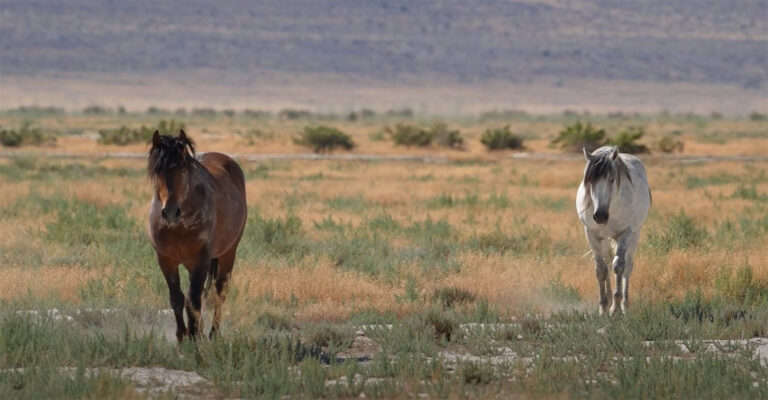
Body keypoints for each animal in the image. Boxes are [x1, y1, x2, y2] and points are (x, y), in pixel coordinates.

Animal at [147, 129, 247, 341]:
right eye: (157, 170)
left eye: (183, 171)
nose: (170, 212)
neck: (179, 226)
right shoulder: (166, 260)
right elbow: (177, 298)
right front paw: (182, 336)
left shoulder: (201, 260)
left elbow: (193, 300)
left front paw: (193, 337)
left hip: (228, 254)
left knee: (219, 292)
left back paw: (213, 334)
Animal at [576, 146, 651, 315]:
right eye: (591, 180)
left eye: (611, 179)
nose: (600, 216)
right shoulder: (591, 234)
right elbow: (601, 269)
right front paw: (603, 306)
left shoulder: (625, 234)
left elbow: (619, 266)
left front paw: (615, 307)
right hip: (605, 239)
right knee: (608, 261)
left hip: (634, 235)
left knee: (627, 267)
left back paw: (624, 304)